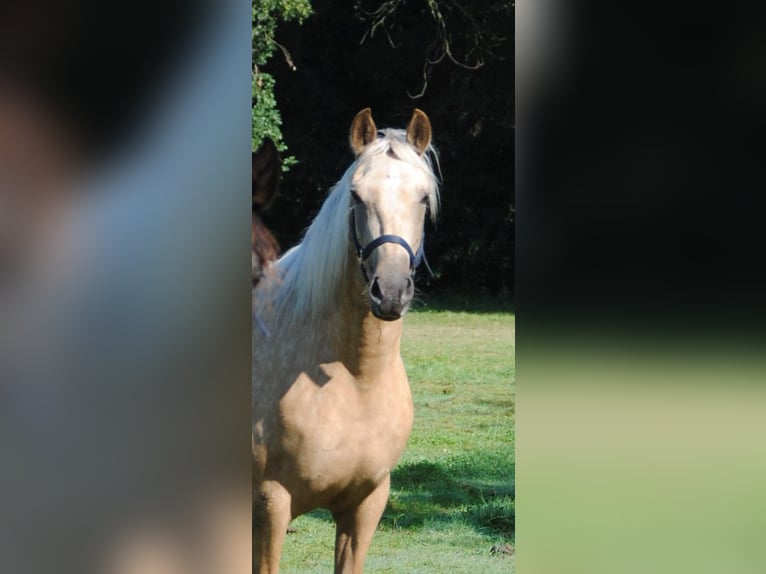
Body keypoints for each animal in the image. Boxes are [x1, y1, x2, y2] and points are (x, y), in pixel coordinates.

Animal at [255, 109, 440, 574]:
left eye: (423, 198)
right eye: (356, 196)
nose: (389, 291)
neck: (356, 378)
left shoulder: (366, 505)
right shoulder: (270, 504)